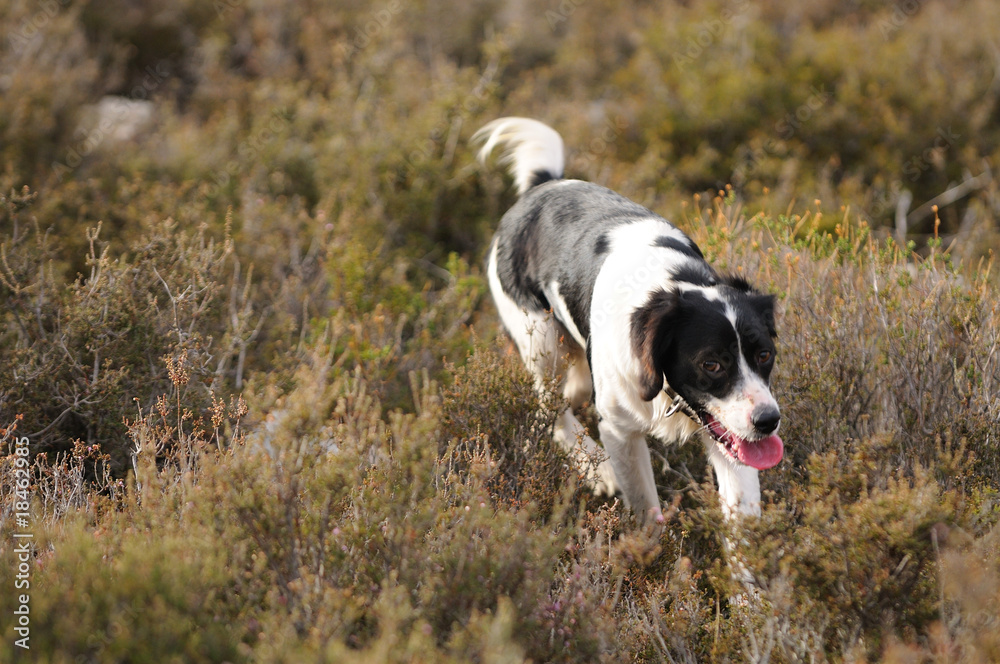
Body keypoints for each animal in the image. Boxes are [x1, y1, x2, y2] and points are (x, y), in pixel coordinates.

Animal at [473, 117, 783, 525]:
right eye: (711, 364)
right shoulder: (621, 432)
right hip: (541, 340)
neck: (670, 285)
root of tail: (543, 185)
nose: (768, 421)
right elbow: (646, 513)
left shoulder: (729, 434)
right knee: (549, 407)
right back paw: (594, 467)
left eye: (765, 355)